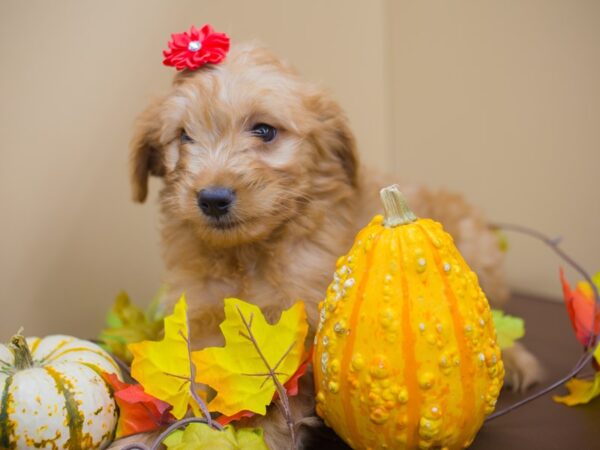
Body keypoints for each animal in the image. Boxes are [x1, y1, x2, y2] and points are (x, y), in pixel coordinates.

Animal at [127, 43, 544, 450]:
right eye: (184, 136)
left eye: (264, 130)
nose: (212, 199)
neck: (247, 255)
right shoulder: (198, 317)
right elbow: (187, 381)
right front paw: (156, 429)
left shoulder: (311, 332)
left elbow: (283, 395)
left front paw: (256, 433)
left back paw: (514, 360)